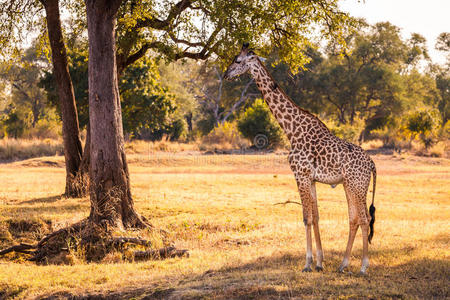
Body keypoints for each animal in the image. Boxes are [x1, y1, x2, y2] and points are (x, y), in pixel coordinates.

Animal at [224, 43, 376, 276]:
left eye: (238, 61)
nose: (226, 74)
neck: (291, 130)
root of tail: (372, 164)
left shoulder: (300, 175)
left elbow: (306, 218)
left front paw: (307, 263)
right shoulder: (310, 179)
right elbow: (316, 217)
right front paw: (320, 263)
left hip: (357, 185)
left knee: (365, 218)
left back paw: (363, 267)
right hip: (349, 185)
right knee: (355, 218)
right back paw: (342, 264)